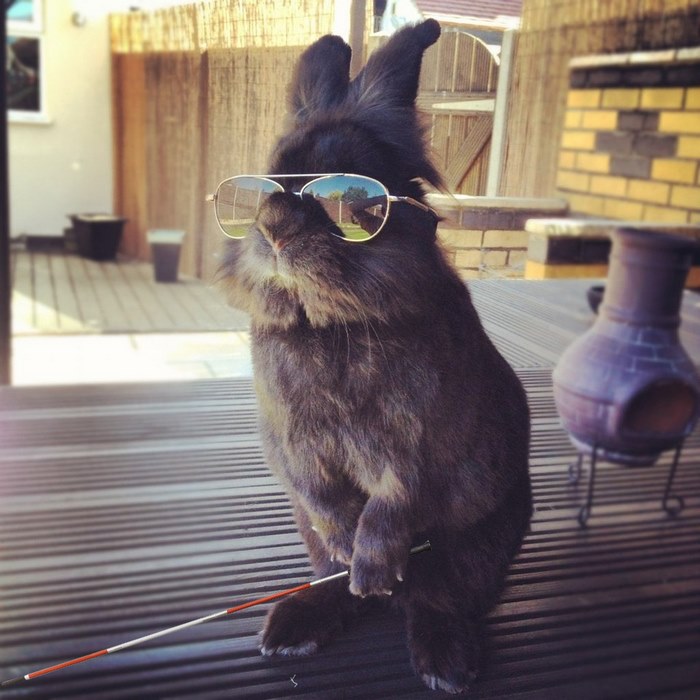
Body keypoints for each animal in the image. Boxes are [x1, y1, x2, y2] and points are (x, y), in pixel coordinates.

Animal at [218, 19, 532, 695]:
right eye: (265, 183)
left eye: (346, 189)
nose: (274, 229)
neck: (331, 324)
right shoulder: (292, 441)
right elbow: (322, 494)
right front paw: (351, 553)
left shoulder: (423, 443)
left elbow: (395, 501)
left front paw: (373, 568)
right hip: (308, 538)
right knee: (335, 582)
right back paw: (297, 624)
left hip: (477, 546)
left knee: (438, 598)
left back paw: (442, 659)